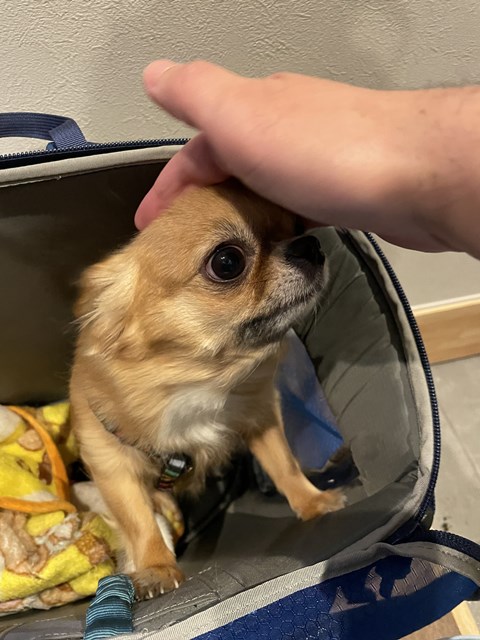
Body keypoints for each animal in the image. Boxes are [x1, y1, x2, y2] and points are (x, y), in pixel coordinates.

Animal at [70, 180, 345, 599]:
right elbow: (139, 519)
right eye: (227, 262)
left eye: (296, 226)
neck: (201, 380)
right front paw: (157, 566)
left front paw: (312, 502)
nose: (309, 244)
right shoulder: (110, 462)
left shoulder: (260, 417)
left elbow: (284, 465)